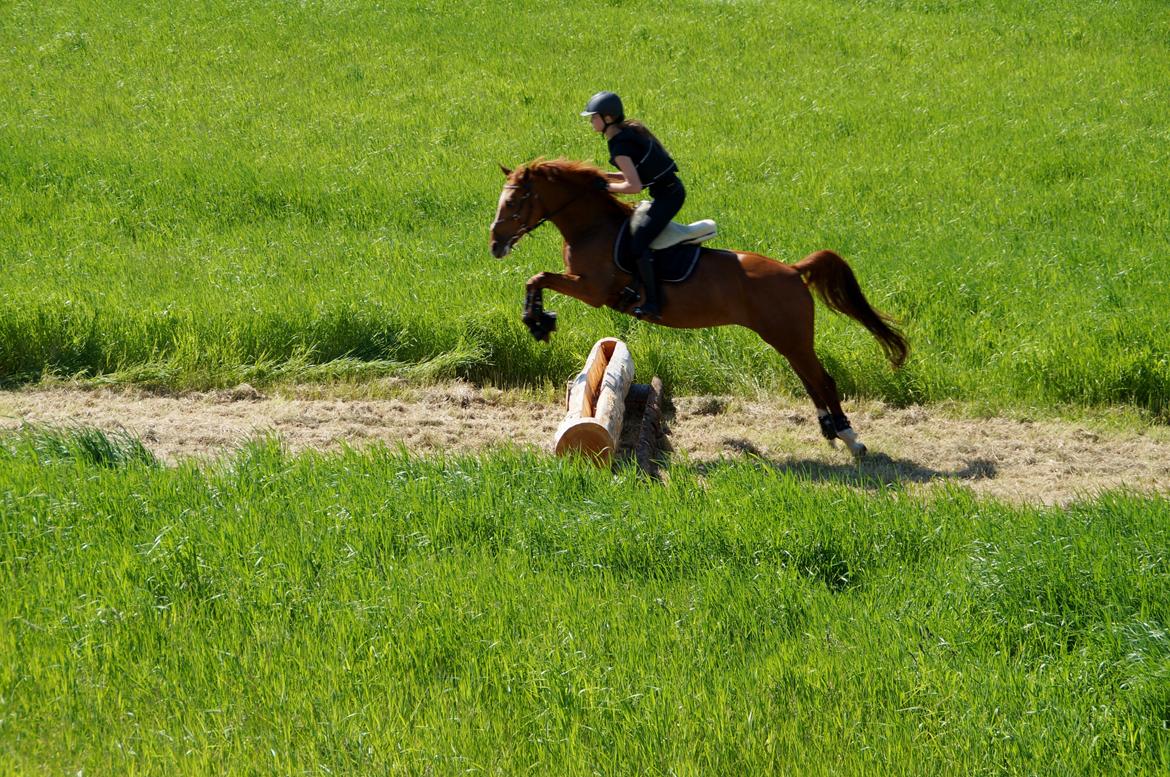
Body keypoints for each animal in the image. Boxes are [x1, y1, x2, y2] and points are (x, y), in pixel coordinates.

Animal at [489, 157, 907, 456]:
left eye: (514, 201)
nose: (495, 244)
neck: (592, 227)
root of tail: (792, 270)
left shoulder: (592, 290)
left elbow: (539, 277)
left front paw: (538, 322)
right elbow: (536, 278)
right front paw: (538, 319)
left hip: (790, 335)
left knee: (822, 380)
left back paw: (852, 438)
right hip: (785, 337)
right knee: (809, 379)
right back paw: (830, 431)